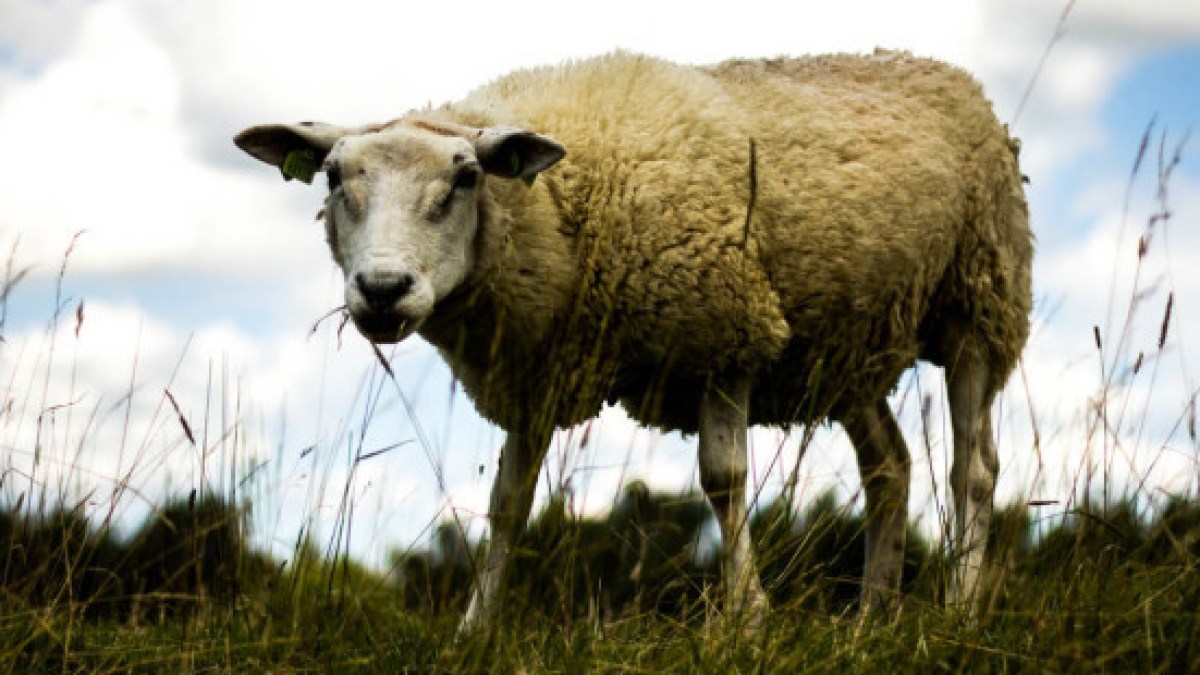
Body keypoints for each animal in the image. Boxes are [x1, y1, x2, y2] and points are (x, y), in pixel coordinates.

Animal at [234, 50, 1032, 631]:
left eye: (464, 179)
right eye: (333, 177)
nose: (383, 289)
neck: (562, 207)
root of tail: (942, 71)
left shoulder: (726, 335)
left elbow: (724, 480)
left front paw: (746, 623)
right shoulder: (537, 370)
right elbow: (507, 502)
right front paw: (474, 629)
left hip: (978, 302)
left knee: (973, 468)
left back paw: (959, 610)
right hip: (846, 349)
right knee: (889, 466)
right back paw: (872, 622)